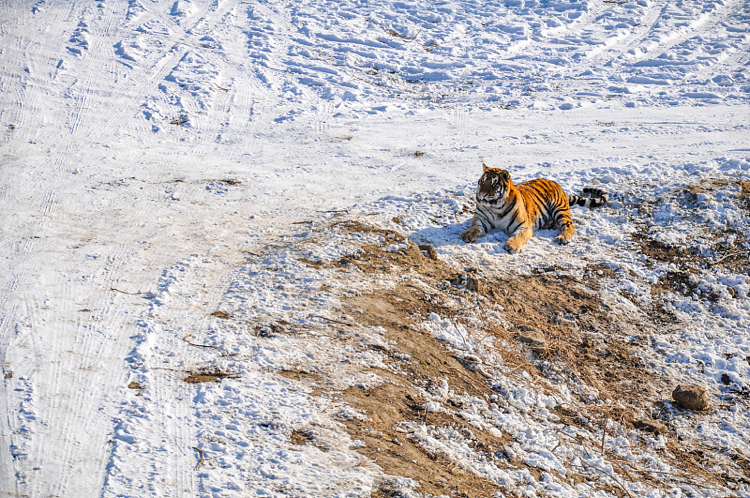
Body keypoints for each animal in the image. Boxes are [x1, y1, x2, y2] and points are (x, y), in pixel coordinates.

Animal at [460, 165, 608, 254]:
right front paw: (467, 234)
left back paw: (562, 238)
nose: (482, 194)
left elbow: (519, 236)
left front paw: (512, 246)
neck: (495, 207)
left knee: (570, 226)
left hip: (560, 210)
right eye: (482, 181)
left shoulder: (524, 226)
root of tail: (557, 185)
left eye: (493, 184)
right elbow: (475, 227)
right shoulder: (481, 218)